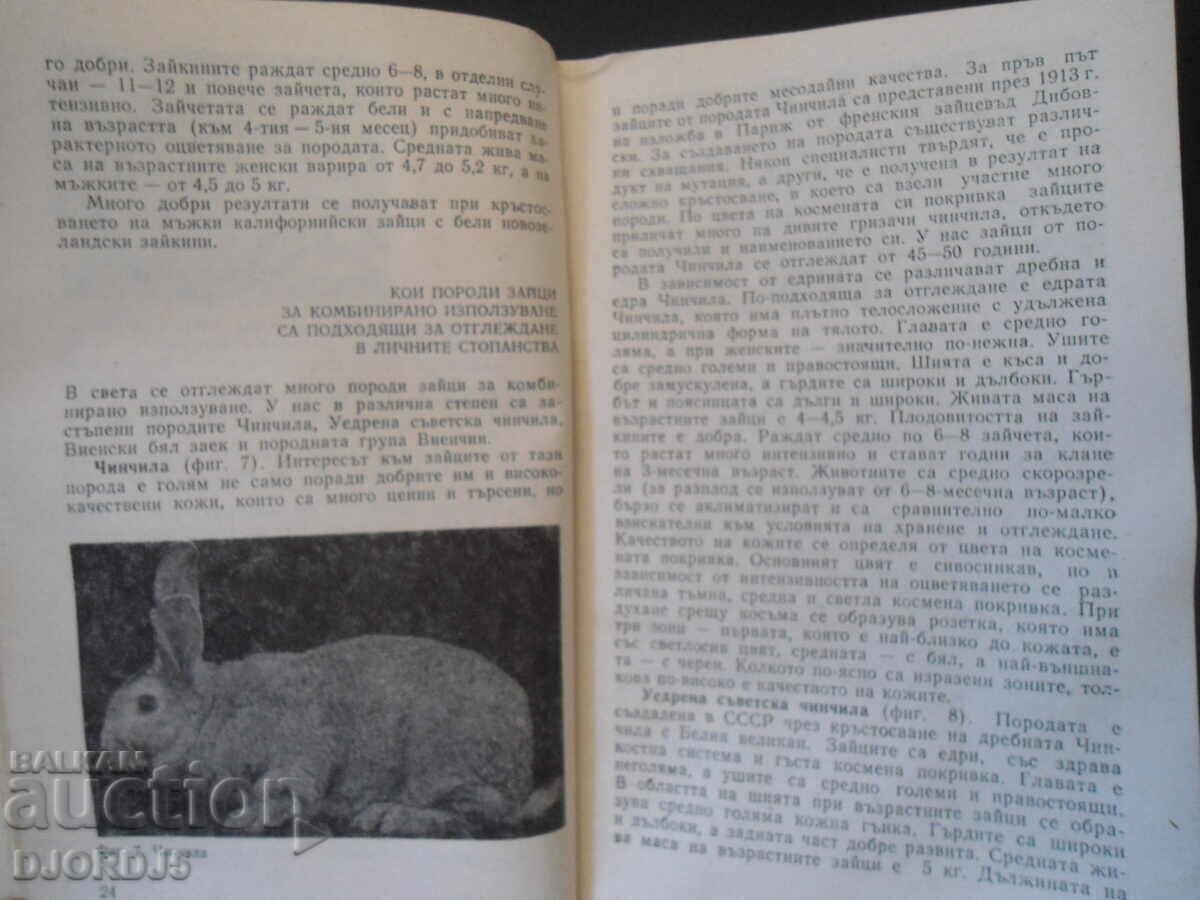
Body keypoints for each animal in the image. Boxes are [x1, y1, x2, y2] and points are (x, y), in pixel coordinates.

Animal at [99, 542, 561, 837]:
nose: (106, 746)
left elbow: (286, 790)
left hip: (445, 763)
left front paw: (245, 820)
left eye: (146, 704)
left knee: (480, 815)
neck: (215, 710)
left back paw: (389, 817)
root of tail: (520, 772)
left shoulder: (295, 750)